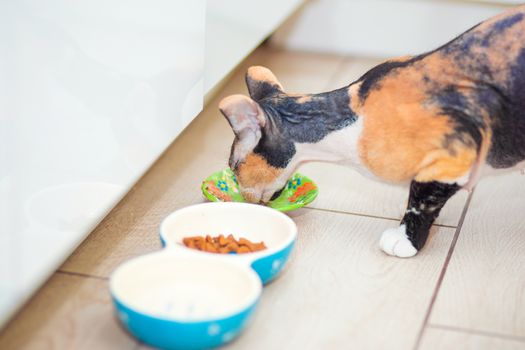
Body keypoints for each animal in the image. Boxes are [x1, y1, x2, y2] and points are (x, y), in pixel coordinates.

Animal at [218, 5, 524, 258]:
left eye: (234, 166)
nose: (244, 198)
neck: (351, 121)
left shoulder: (454, 155)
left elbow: (421, 201)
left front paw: (405, 239)